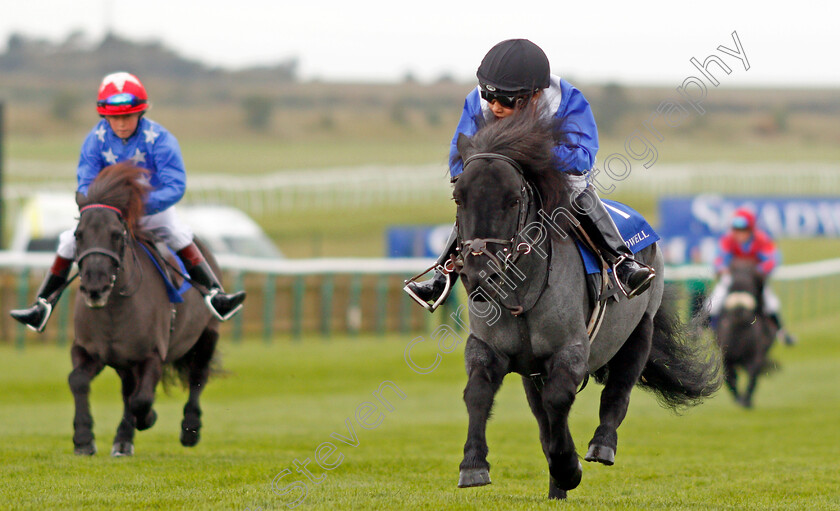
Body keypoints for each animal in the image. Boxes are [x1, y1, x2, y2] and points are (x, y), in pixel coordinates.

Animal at [70, 163, 220, 456]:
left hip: (207, 334)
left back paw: (190, 429)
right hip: (124, 362)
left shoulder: (152, 354)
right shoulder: (89, 349)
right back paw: (123, 439)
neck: (114, 310)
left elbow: (141, 399)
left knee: (198, 375)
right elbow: (78, 380)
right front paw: (83, 438)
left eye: (116, 235)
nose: (95, 286)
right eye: (78, 235)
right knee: (128, 389)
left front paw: (149, 418)